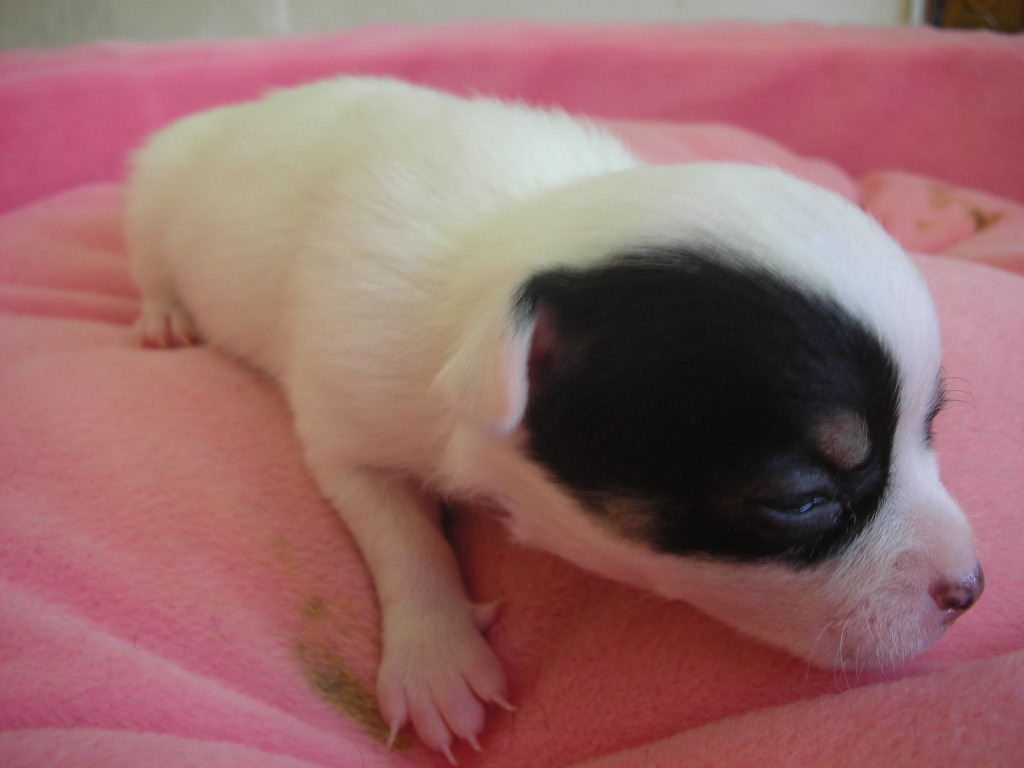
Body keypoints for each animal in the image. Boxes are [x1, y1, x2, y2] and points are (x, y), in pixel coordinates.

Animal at [126, 77, 983, 760]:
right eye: (800, 500)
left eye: (930, 428)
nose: (971, 591)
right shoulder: (345, 421)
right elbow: (401, 533)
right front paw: (435, 656)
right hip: (155, 185)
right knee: (149, 256)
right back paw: (162, 313)